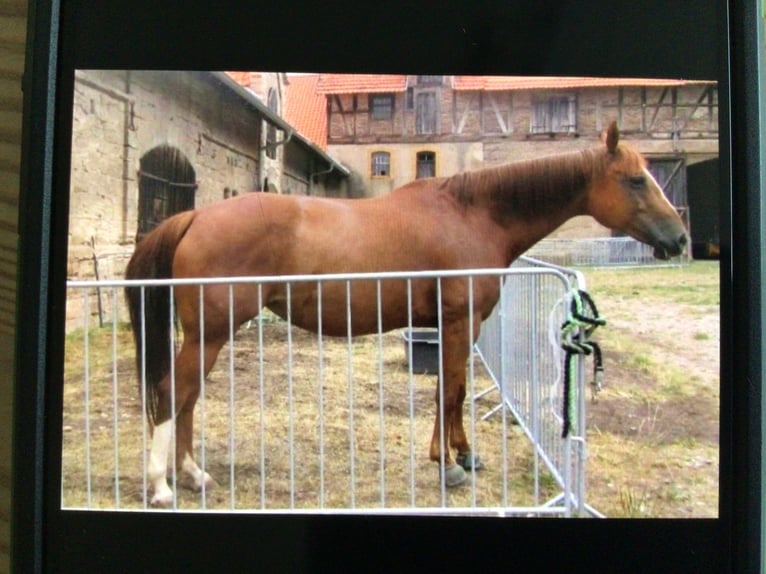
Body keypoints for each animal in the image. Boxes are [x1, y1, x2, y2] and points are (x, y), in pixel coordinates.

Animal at [125, 122, 687, 507]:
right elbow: (450, 391)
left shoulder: (460, 327)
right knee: (172, 394)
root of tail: (195, 215)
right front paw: (449, 465)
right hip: (209, 334)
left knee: (187, 399)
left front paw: (464, 454)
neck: (472, 214)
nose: (679, 239)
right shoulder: (460, 321)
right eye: (636, 180)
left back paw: (192, 474)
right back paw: (162, 486)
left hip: (208, 336)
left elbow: (453, 388)